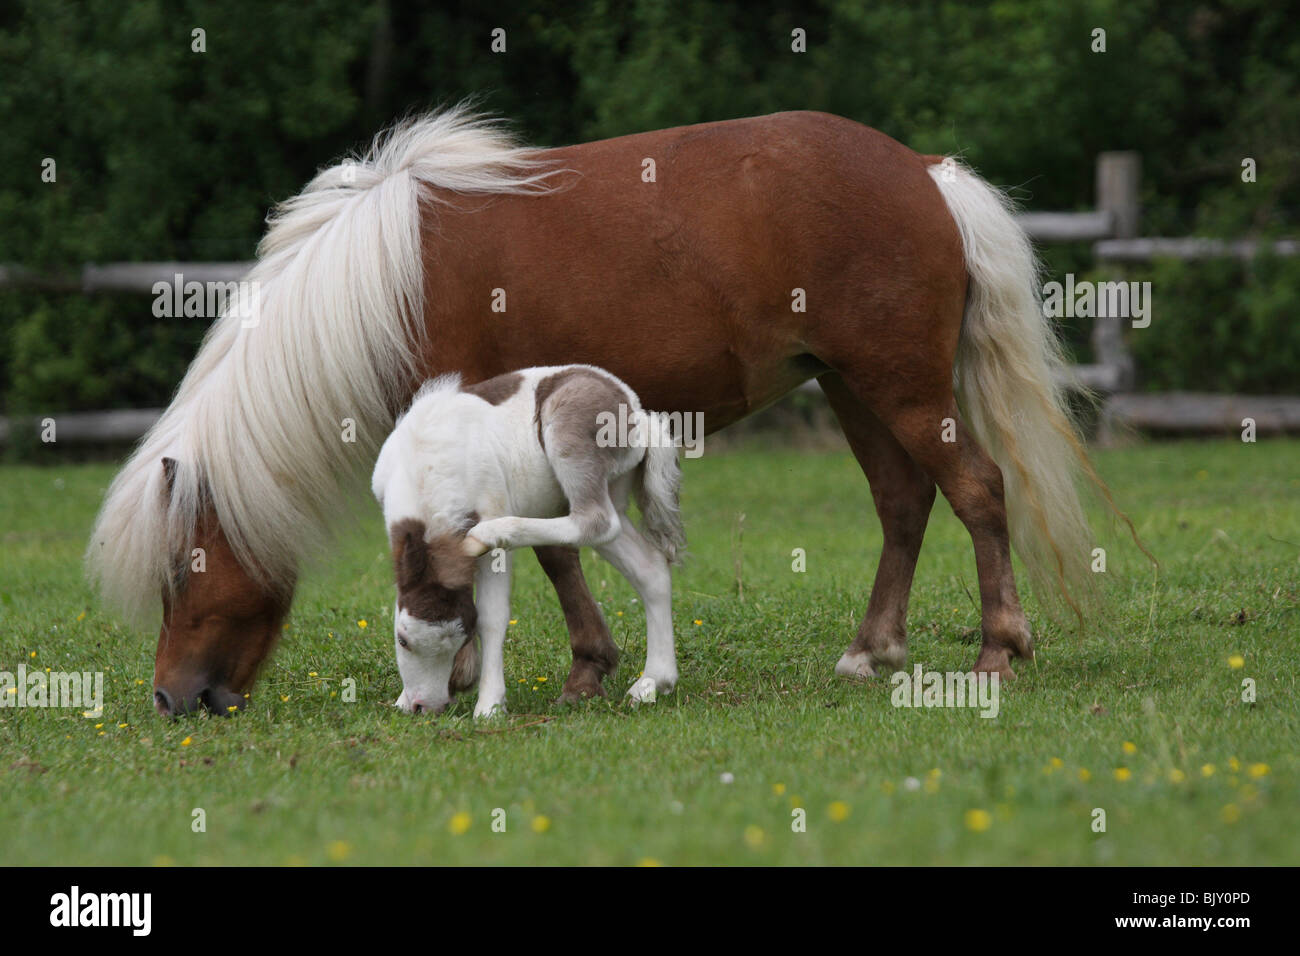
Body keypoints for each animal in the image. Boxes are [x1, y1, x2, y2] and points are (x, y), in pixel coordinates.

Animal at [372, 366, 685, 717]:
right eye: (402, 639)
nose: (422, 706)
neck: (426, 465)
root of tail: (640, 417)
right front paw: (402, 699)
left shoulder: (491, 524)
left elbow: (492, 617)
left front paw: (489, 707)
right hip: (614, 491)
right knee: (649, 567)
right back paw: (652, 683)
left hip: (570, 433)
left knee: (597, 520)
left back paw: (489, 533)